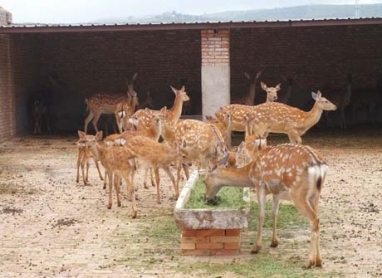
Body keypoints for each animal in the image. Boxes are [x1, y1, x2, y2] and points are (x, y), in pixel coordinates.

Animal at [206, 140, 328, 268]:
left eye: (204, 181)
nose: (206, 198)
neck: (250, 173)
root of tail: (318, 165)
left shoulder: (260, 184)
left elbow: (261, 215)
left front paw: (256, 247)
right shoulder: (276, 192)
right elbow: (274, 213)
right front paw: (274, 242)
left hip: (298, 193)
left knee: (314, 220)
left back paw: (309, 262)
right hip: (315, 195)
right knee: (318, 220)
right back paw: (319, 261)